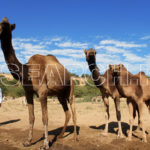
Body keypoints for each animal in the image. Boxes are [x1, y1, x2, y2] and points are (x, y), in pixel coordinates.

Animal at [0, 17, 77, 150]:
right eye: (0, 24)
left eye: (6, 25)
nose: (2, 31)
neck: (27, 71)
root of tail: (69, 76)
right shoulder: (28, 93)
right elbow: (31, 117)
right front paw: (28, 141)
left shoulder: (42, 92)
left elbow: (45, 118)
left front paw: (45, 144)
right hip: (60, 95)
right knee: (67, 113)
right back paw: (61, 135)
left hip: (70, 90)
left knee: (73, 111)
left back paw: (76, 137)